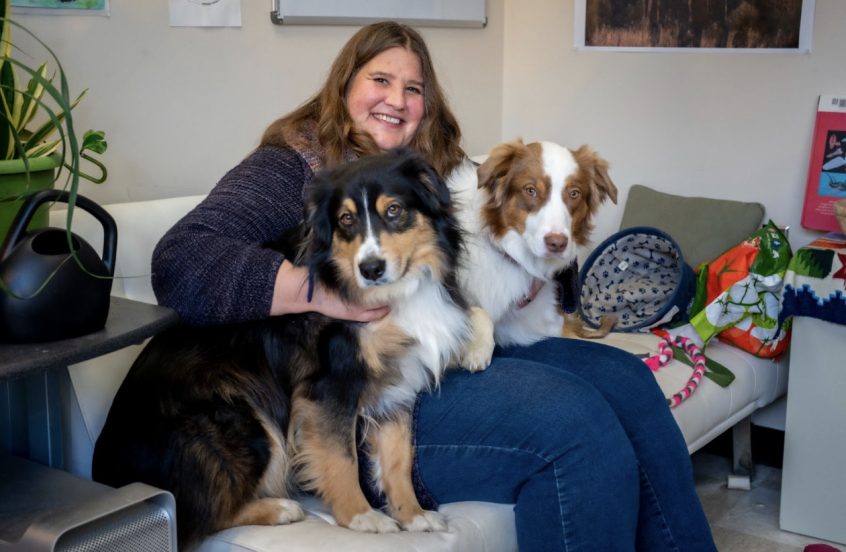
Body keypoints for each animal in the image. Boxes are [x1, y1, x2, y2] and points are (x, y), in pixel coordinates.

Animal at [95, 149, 496, 548]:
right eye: (346, 219)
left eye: (394, 209)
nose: (370, 269)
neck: (392, 294)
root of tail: (103, 471)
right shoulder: (327, 389)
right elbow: (343, 457)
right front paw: (361, 517)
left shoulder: (396, 382)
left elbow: (398, 458)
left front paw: (412, 516)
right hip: (242, 417)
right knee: (195, 515)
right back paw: (278, 508)